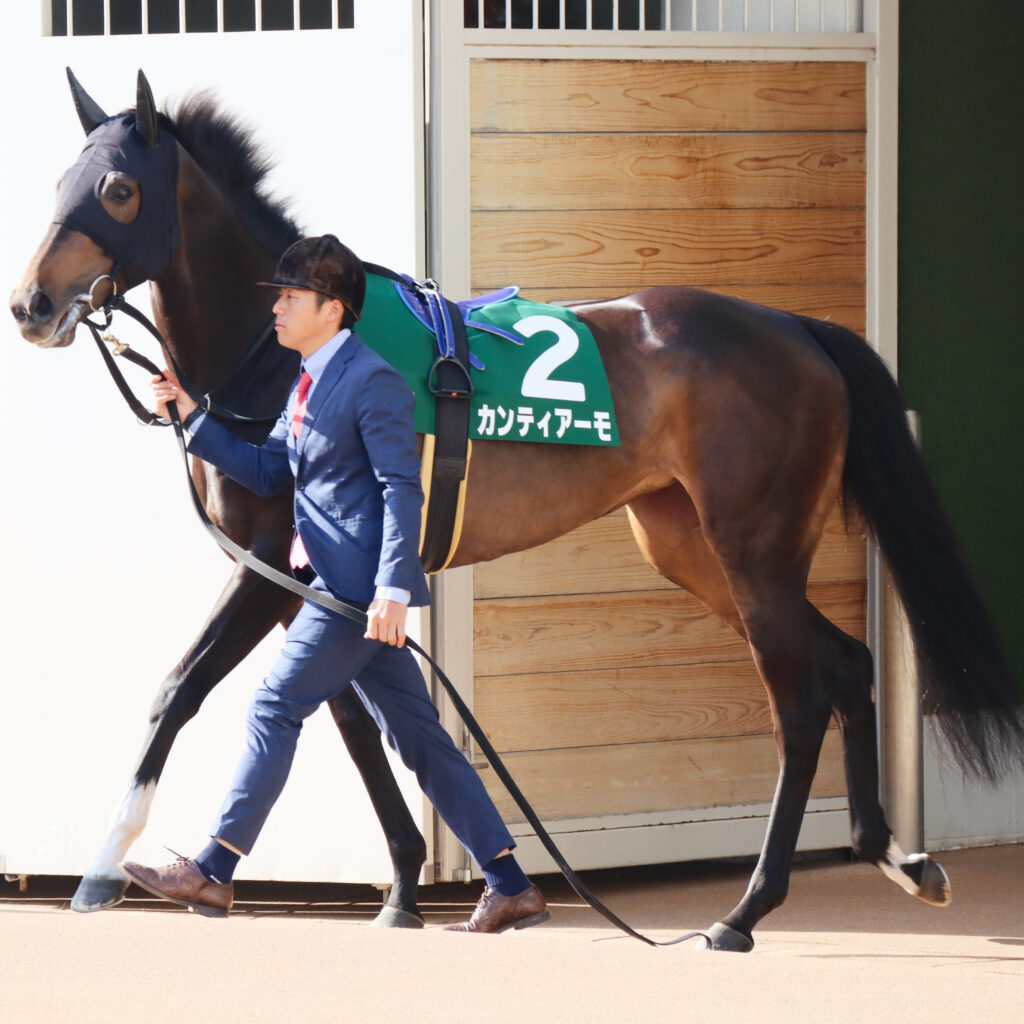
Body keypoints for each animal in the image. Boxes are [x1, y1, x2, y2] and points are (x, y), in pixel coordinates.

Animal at [10, 70, 1024, 951]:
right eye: (59, 181)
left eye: (118, 188)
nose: (31, 303)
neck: (283, 357)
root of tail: (800, 331)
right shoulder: (318, 581)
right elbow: (357, 718)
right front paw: (407, 886)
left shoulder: (275, 567)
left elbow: (182, 691)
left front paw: (107, 866)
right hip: (690, 548)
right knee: (847, 662)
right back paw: (899, 858)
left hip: (753, 551)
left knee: (802, 699)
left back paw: (745, 911)